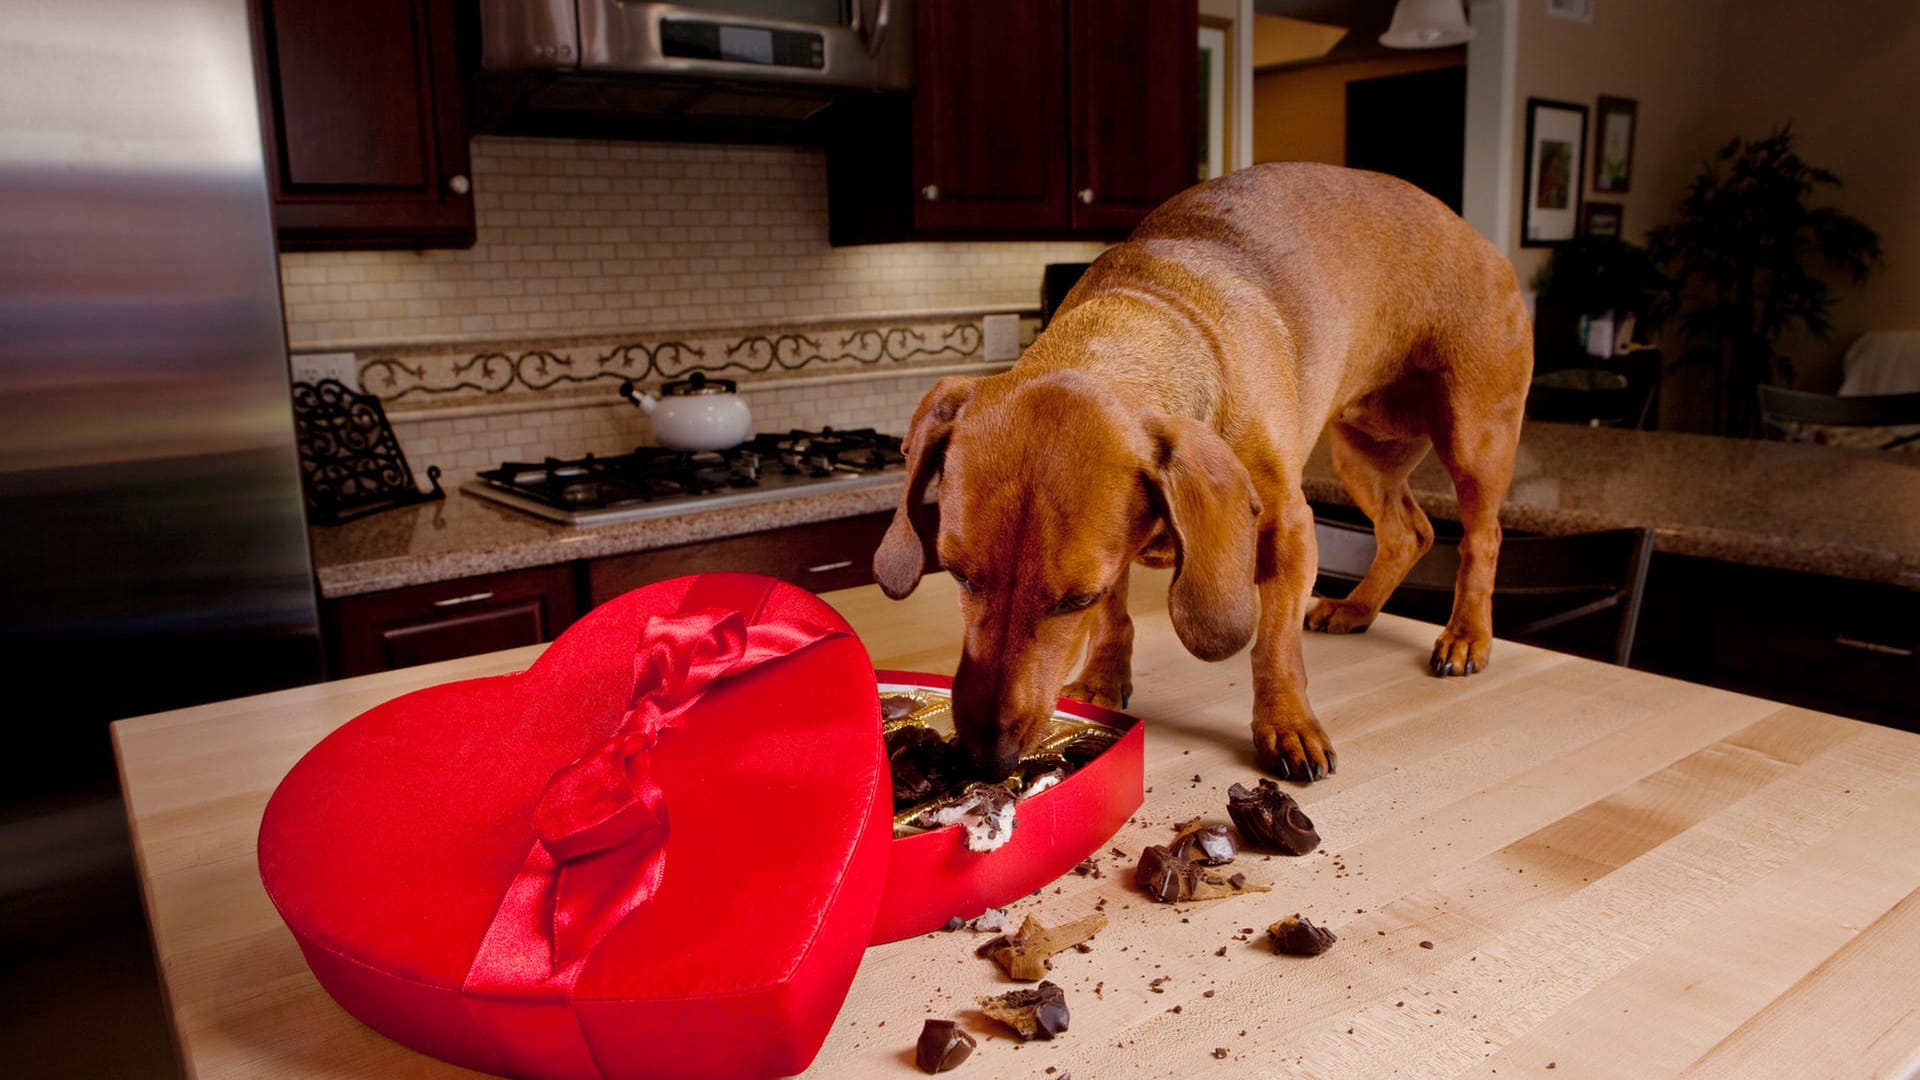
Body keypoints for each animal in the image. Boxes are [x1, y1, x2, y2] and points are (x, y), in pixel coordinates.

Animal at [875, 161, 1528, 780]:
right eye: (958, 575)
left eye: (1074, 599)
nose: (986, 761)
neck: (1147, 316)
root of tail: (1478, 238)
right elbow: (1115, 622)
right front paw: (1102, 681)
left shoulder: (1290, 529)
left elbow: (1273, 645)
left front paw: (1287, 724)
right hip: (1362, 451)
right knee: (1408, 532)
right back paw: (1357, 607)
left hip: (1475, 440)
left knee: (1482, 538)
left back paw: (1466, 636)